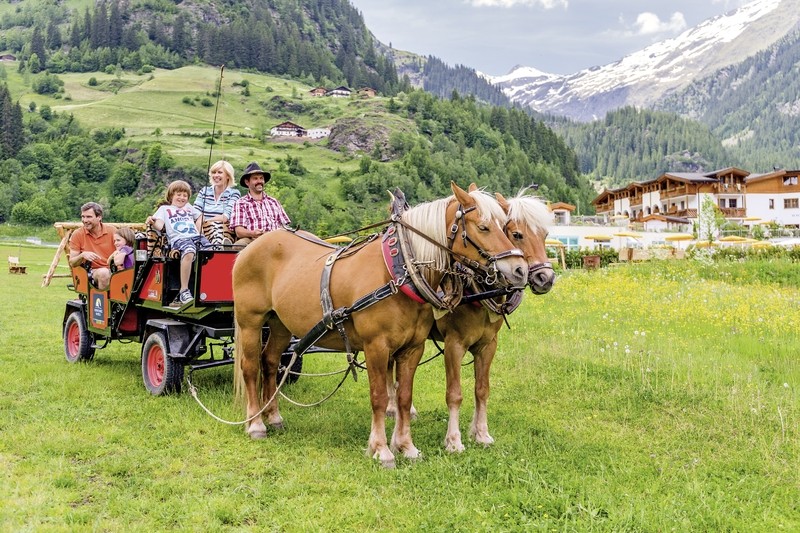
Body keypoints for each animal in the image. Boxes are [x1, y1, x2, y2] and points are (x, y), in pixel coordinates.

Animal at [233, 182, 532, 466]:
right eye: (483, 227)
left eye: (506, 228)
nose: (519, 270)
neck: (400, 273)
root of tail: (252, 247)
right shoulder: (376, 346)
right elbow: (378, 397)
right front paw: (381, 449)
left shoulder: (412, 349)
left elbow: (403, 397)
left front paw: (406, 447)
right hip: (250, 322)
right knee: (251, 367)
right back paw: (256, 423)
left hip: (280, 325)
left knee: (270, 362)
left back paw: (273, 417)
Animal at [438, 190, 556, 448]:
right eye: (517, 234)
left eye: (545, 235)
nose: (546, 278)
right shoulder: (454, 345)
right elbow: (454, 393)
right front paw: (453, 440)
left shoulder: (488, 345)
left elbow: (482, 389)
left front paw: (481, 433)